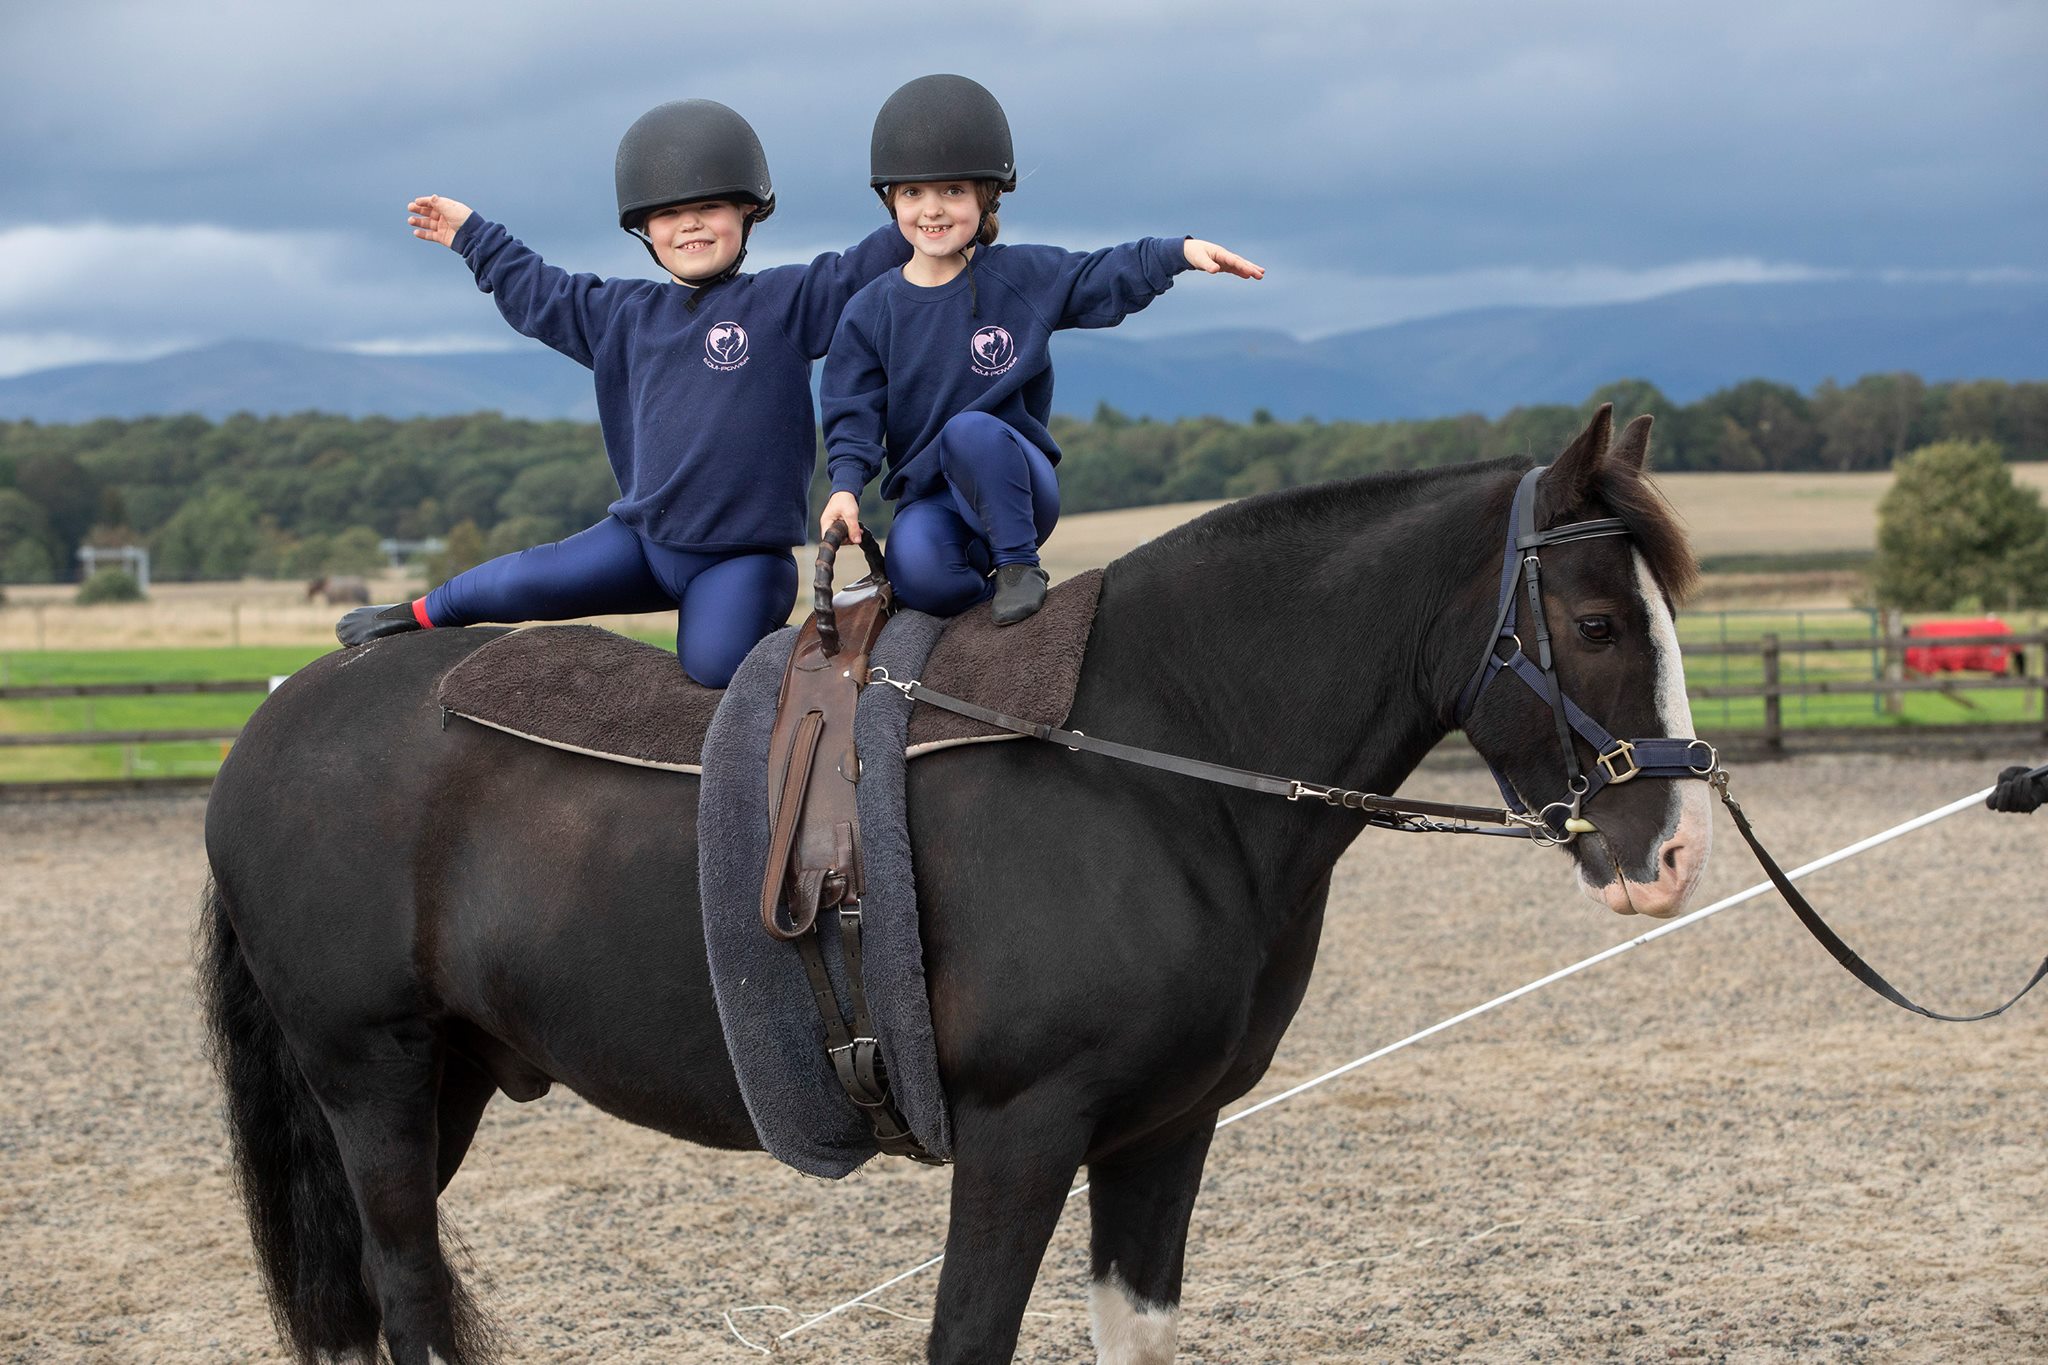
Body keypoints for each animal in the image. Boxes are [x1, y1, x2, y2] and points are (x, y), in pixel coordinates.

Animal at [203, 409, 1712, 1365]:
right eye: (1592, 621)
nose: (1676, 852)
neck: (1146, 758)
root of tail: (281, 716)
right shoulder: (1019, 1133)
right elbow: (967, 1336)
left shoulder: (1164, 1134)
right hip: (372, 1077)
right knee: (406, 1297)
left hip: (440, 1083)